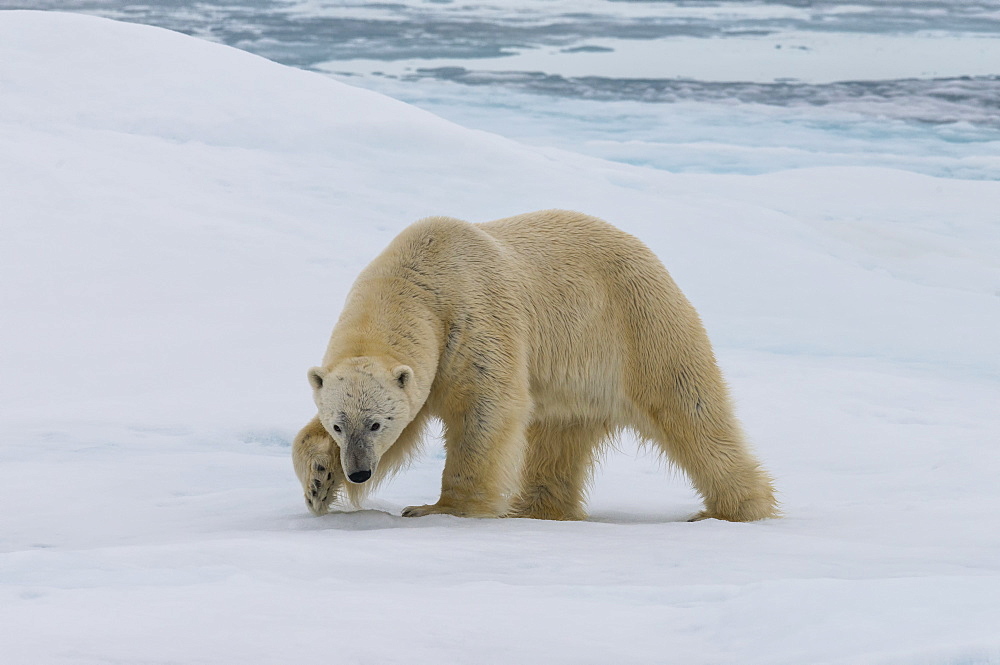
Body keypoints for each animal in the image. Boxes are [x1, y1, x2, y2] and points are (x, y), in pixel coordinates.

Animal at [292, 210, 776, 520]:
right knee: (557, 437)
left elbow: (485, 409)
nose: (359, 470)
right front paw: (317, 482)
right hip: (575, 377)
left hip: (639, 327)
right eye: (339, 424)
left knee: (691, 412)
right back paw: (539, 509)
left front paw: (440, 508)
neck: (418, 277)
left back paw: (736, 509)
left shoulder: (473, 321)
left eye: (376, 423)